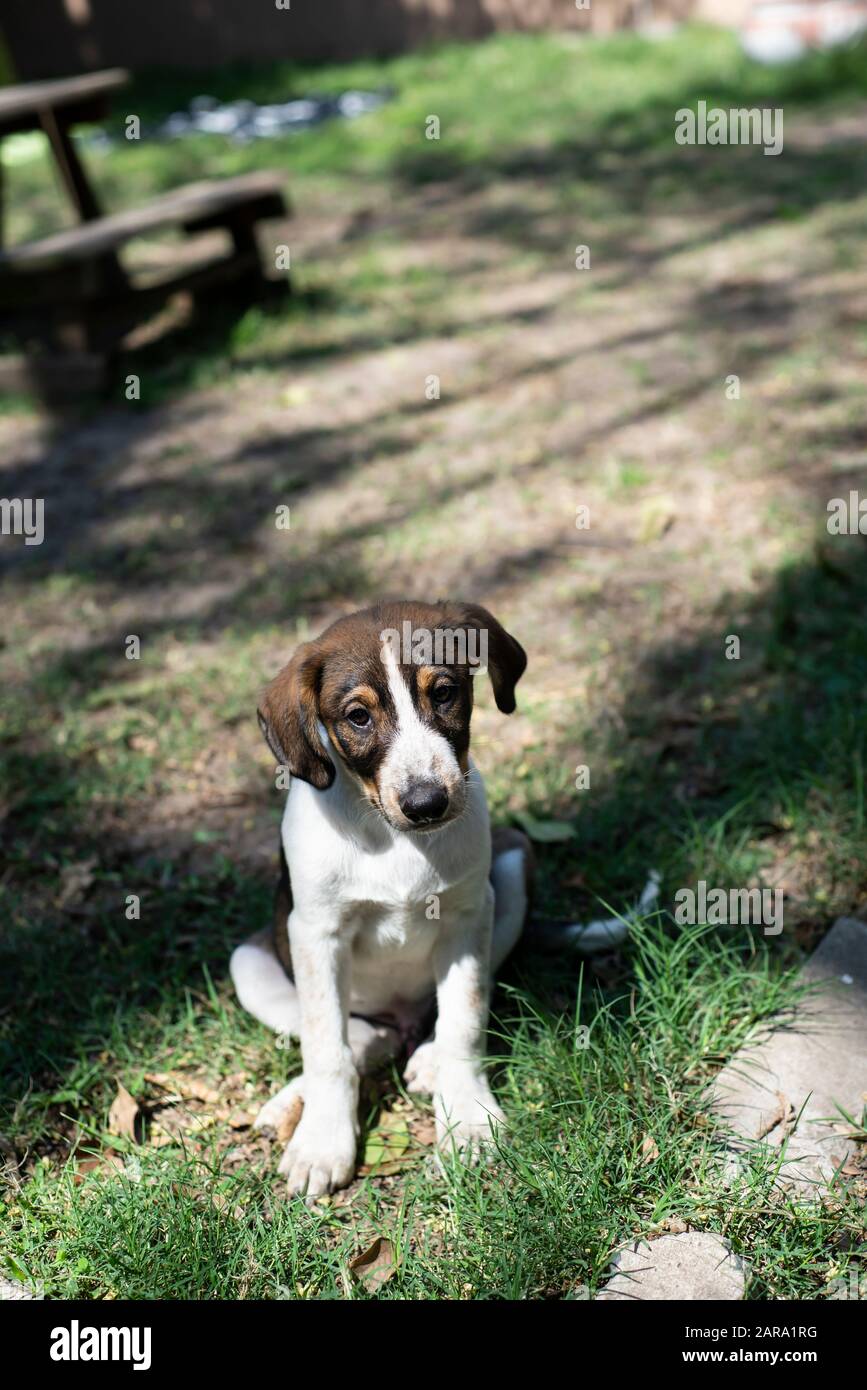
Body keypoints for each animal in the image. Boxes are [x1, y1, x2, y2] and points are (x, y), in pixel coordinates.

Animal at [229, 597, 536, 1195]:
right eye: (358, 717)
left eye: (444, 692)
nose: (427, 803)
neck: (394, 839)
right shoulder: (315, 933)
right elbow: (326, 1046)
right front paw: (323, 1141)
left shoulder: (468, 915)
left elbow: (465, 1019)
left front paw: (467, 1118)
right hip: (250, 961)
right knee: (360, 1039)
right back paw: (293, 1101)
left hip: (511, 870)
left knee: (437, 1015)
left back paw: (428, 1057)